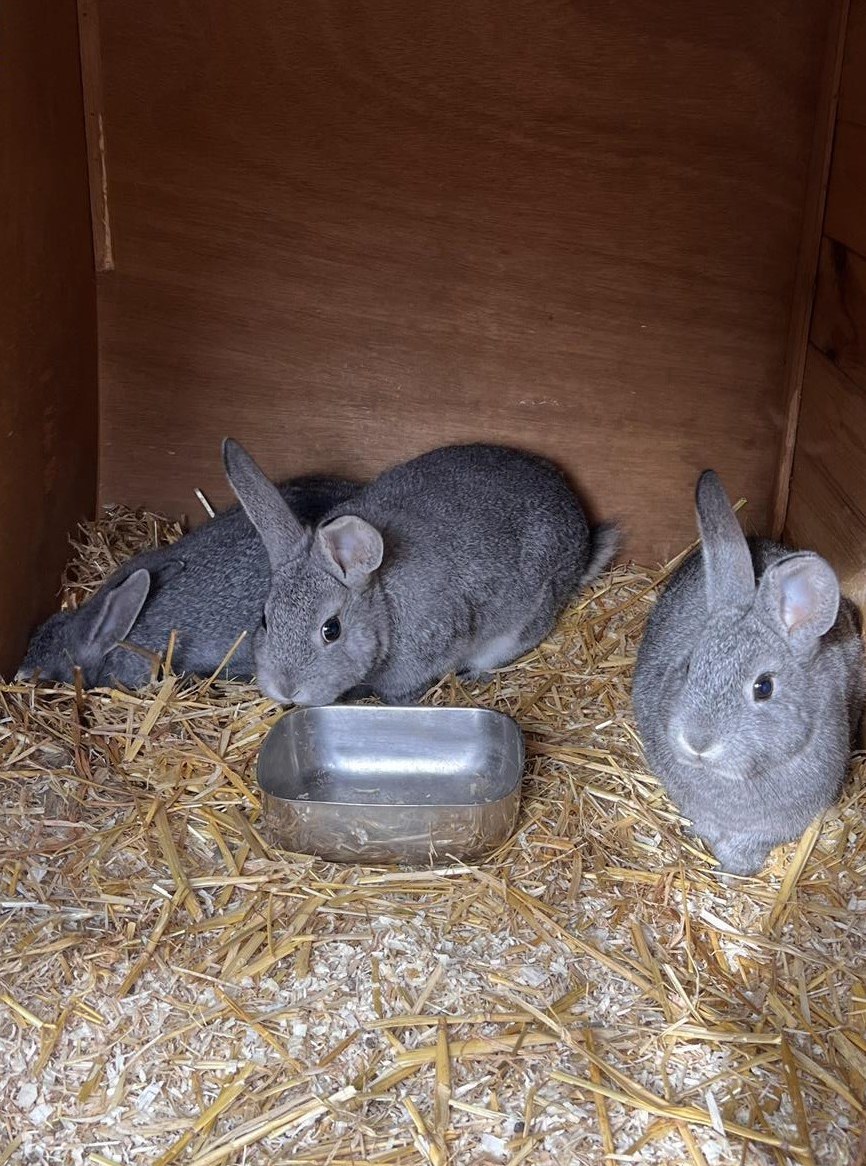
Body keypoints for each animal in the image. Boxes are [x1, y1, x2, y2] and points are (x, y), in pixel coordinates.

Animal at [222, 438, 620, 708]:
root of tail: (582, 542)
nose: (286, 689)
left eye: (331, 630)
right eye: (264, 620)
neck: (384, 606)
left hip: (521, 623)